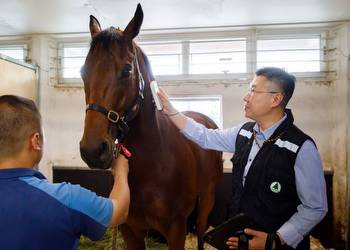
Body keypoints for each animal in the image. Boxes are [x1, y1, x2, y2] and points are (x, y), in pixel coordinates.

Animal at [79, 4, 221, 250]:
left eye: (127, 70)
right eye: (82, 72)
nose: (93, 150)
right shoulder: (130, 230)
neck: (153, 161)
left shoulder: (176, 229)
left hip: (207, 197)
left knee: (202, 230)